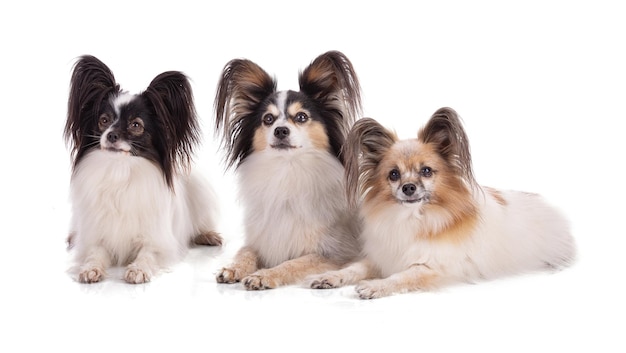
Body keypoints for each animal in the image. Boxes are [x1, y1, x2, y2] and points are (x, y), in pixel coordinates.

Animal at [65, 55, 222, 284]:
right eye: (104, 121)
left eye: (136, 125)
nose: (111, 135)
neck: (120, 171)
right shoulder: (97, 236)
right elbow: (95, 252)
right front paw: (90, 268)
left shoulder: (159, 241)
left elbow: (148, 253)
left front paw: (138, 269)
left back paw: (207, 235)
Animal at [213, 51, 360, 290]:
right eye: (268, 119)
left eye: (301, 117)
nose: (280, 130)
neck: (287, 171)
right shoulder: (262, 239)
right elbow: (246, 251)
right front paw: (233, 268)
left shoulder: (334, 253)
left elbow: (293, 262)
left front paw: (264, 275)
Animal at [308, 106, 576, 296]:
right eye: (393, 174)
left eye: (426, 171)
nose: (408, 187)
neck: (413, 217)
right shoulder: (384, 254)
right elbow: (354, 268)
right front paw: (329, 277)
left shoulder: (432, 267)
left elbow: (402, 276)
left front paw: (376, 286)